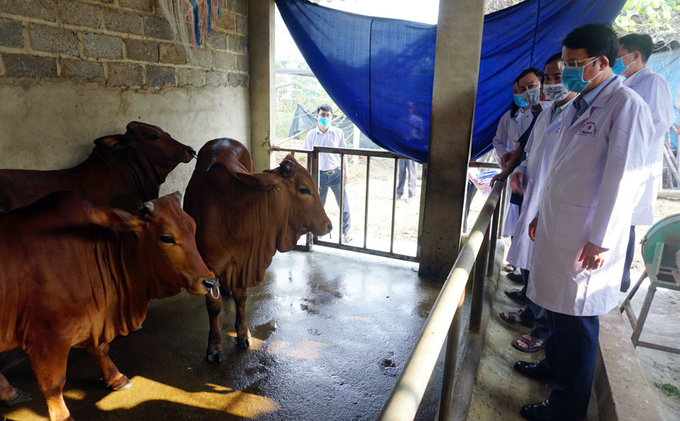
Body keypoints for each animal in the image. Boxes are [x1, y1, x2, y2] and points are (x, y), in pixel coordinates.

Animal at [0, 191, 215, 420]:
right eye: (166, 238)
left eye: (193, 227)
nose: (211, 281)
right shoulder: (48, 337)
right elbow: (53, 385)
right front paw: (63, 416)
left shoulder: (94, 318)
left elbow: (100, 349)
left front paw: (116, 378)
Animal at [183, 138, 332, 360]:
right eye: (304, 189)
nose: (329, 225)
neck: (233, 214)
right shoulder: (209, 267)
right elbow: (214, 307)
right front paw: (215, 346)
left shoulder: (243, 262)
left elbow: (241, 298)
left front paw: (244, 334)